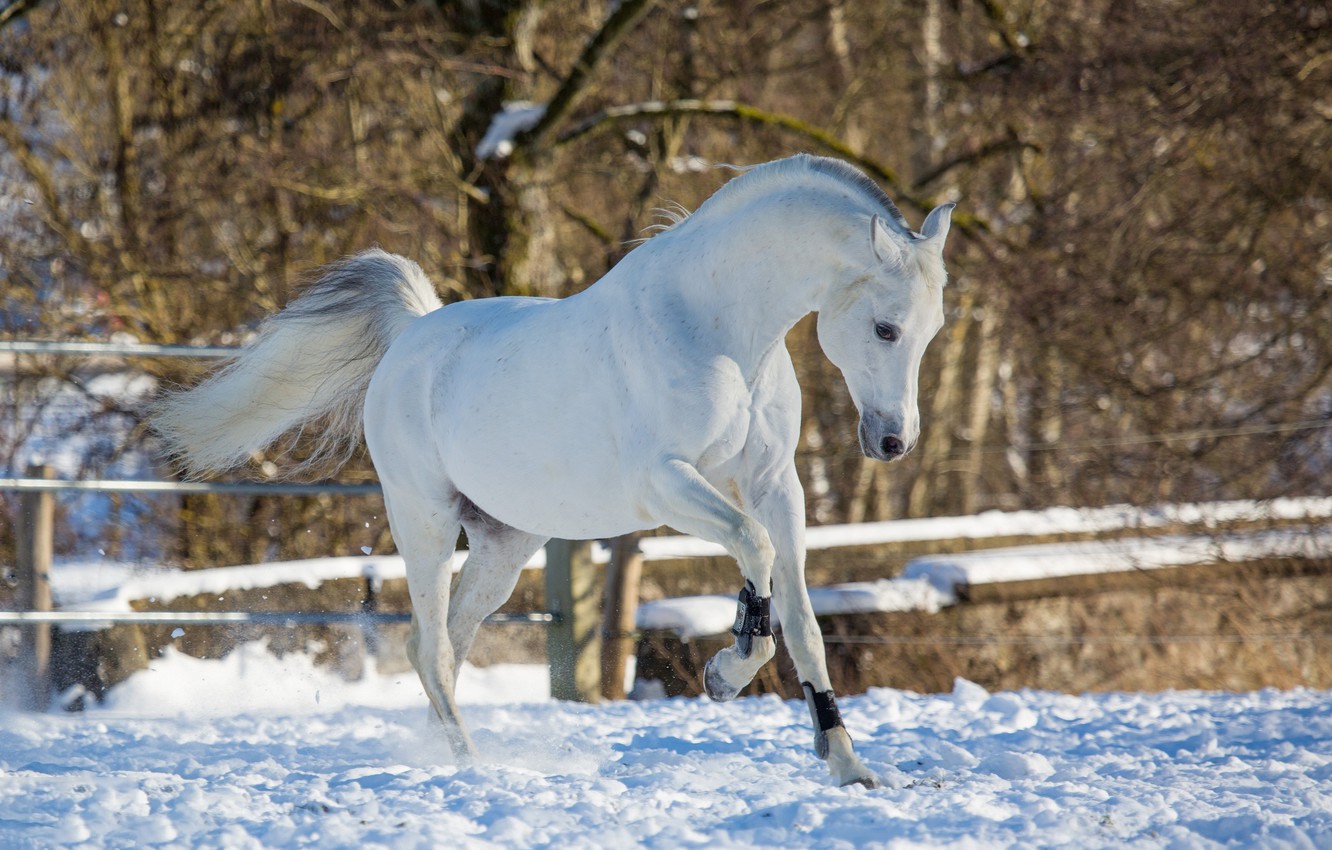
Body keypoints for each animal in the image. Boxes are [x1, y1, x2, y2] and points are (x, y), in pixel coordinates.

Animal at [153, 153, 955, 788]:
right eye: (885, 327)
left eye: (933, 330)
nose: (893, 441)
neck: (719, 330)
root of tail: (412, 335)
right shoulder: (666, 485)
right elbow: (753, 557)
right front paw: (721, 676)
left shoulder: (774, 488)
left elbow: (804, 622)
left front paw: (848, 765)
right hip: (424, 522)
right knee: (432, 645)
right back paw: (471, 765)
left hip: (505, 546)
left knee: (440, 645)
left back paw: (456, 754)